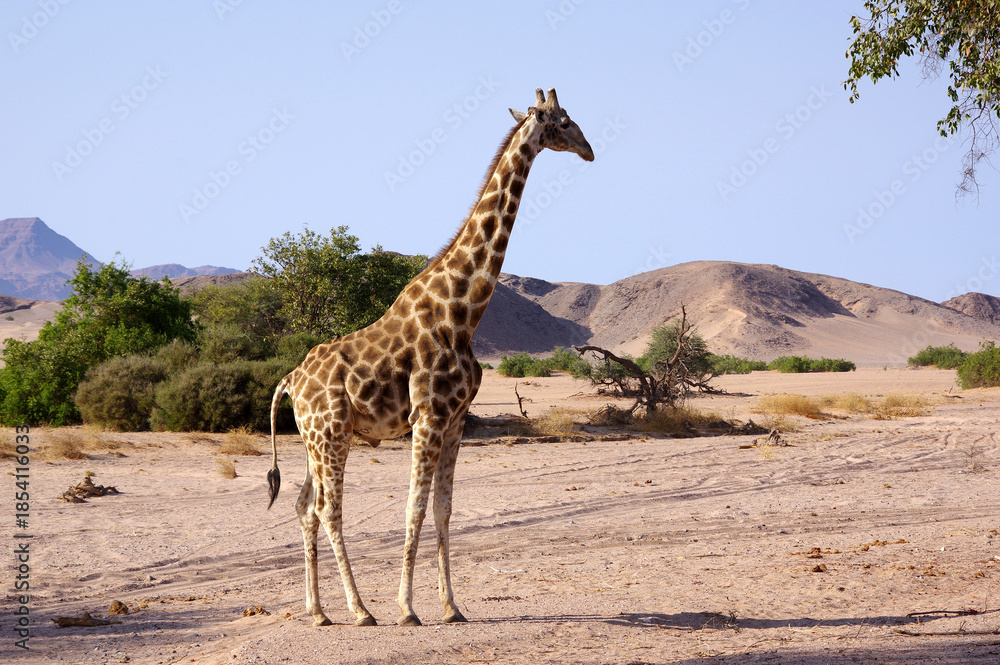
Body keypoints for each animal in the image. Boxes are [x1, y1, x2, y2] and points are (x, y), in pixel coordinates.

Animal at [266, 88, 594, 627]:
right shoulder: (429, 416)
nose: (590, 150)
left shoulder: (457, 419)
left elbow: (444, 509)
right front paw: (406, 608)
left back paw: (318, 611)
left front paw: (451, 606)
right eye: (564, 121)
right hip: (332, 434)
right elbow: (414, 508)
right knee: (329, 510)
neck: (463, 312)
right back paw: (360, 610)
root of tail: (290, 380)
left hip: (315, 439)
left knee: (302, 505)